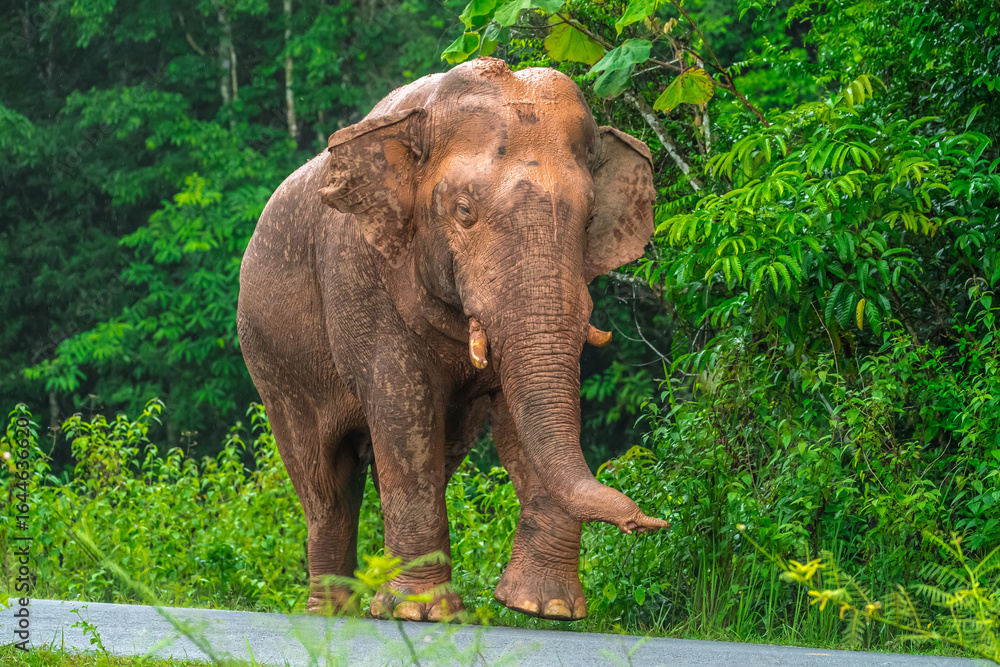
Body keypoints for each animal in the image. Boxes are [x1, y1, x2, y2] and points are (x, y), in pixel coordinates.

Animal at [236, 56, 667, 623]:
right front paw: (421, 613)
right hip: (274, 367)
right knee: (325, 483)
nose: (650, 523)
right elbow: (402, 409)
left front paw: (544, 609)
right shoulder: (362, 278)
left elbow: (517, 415)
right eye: (464, 211)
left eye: (590, 218)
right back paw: (333, 614)